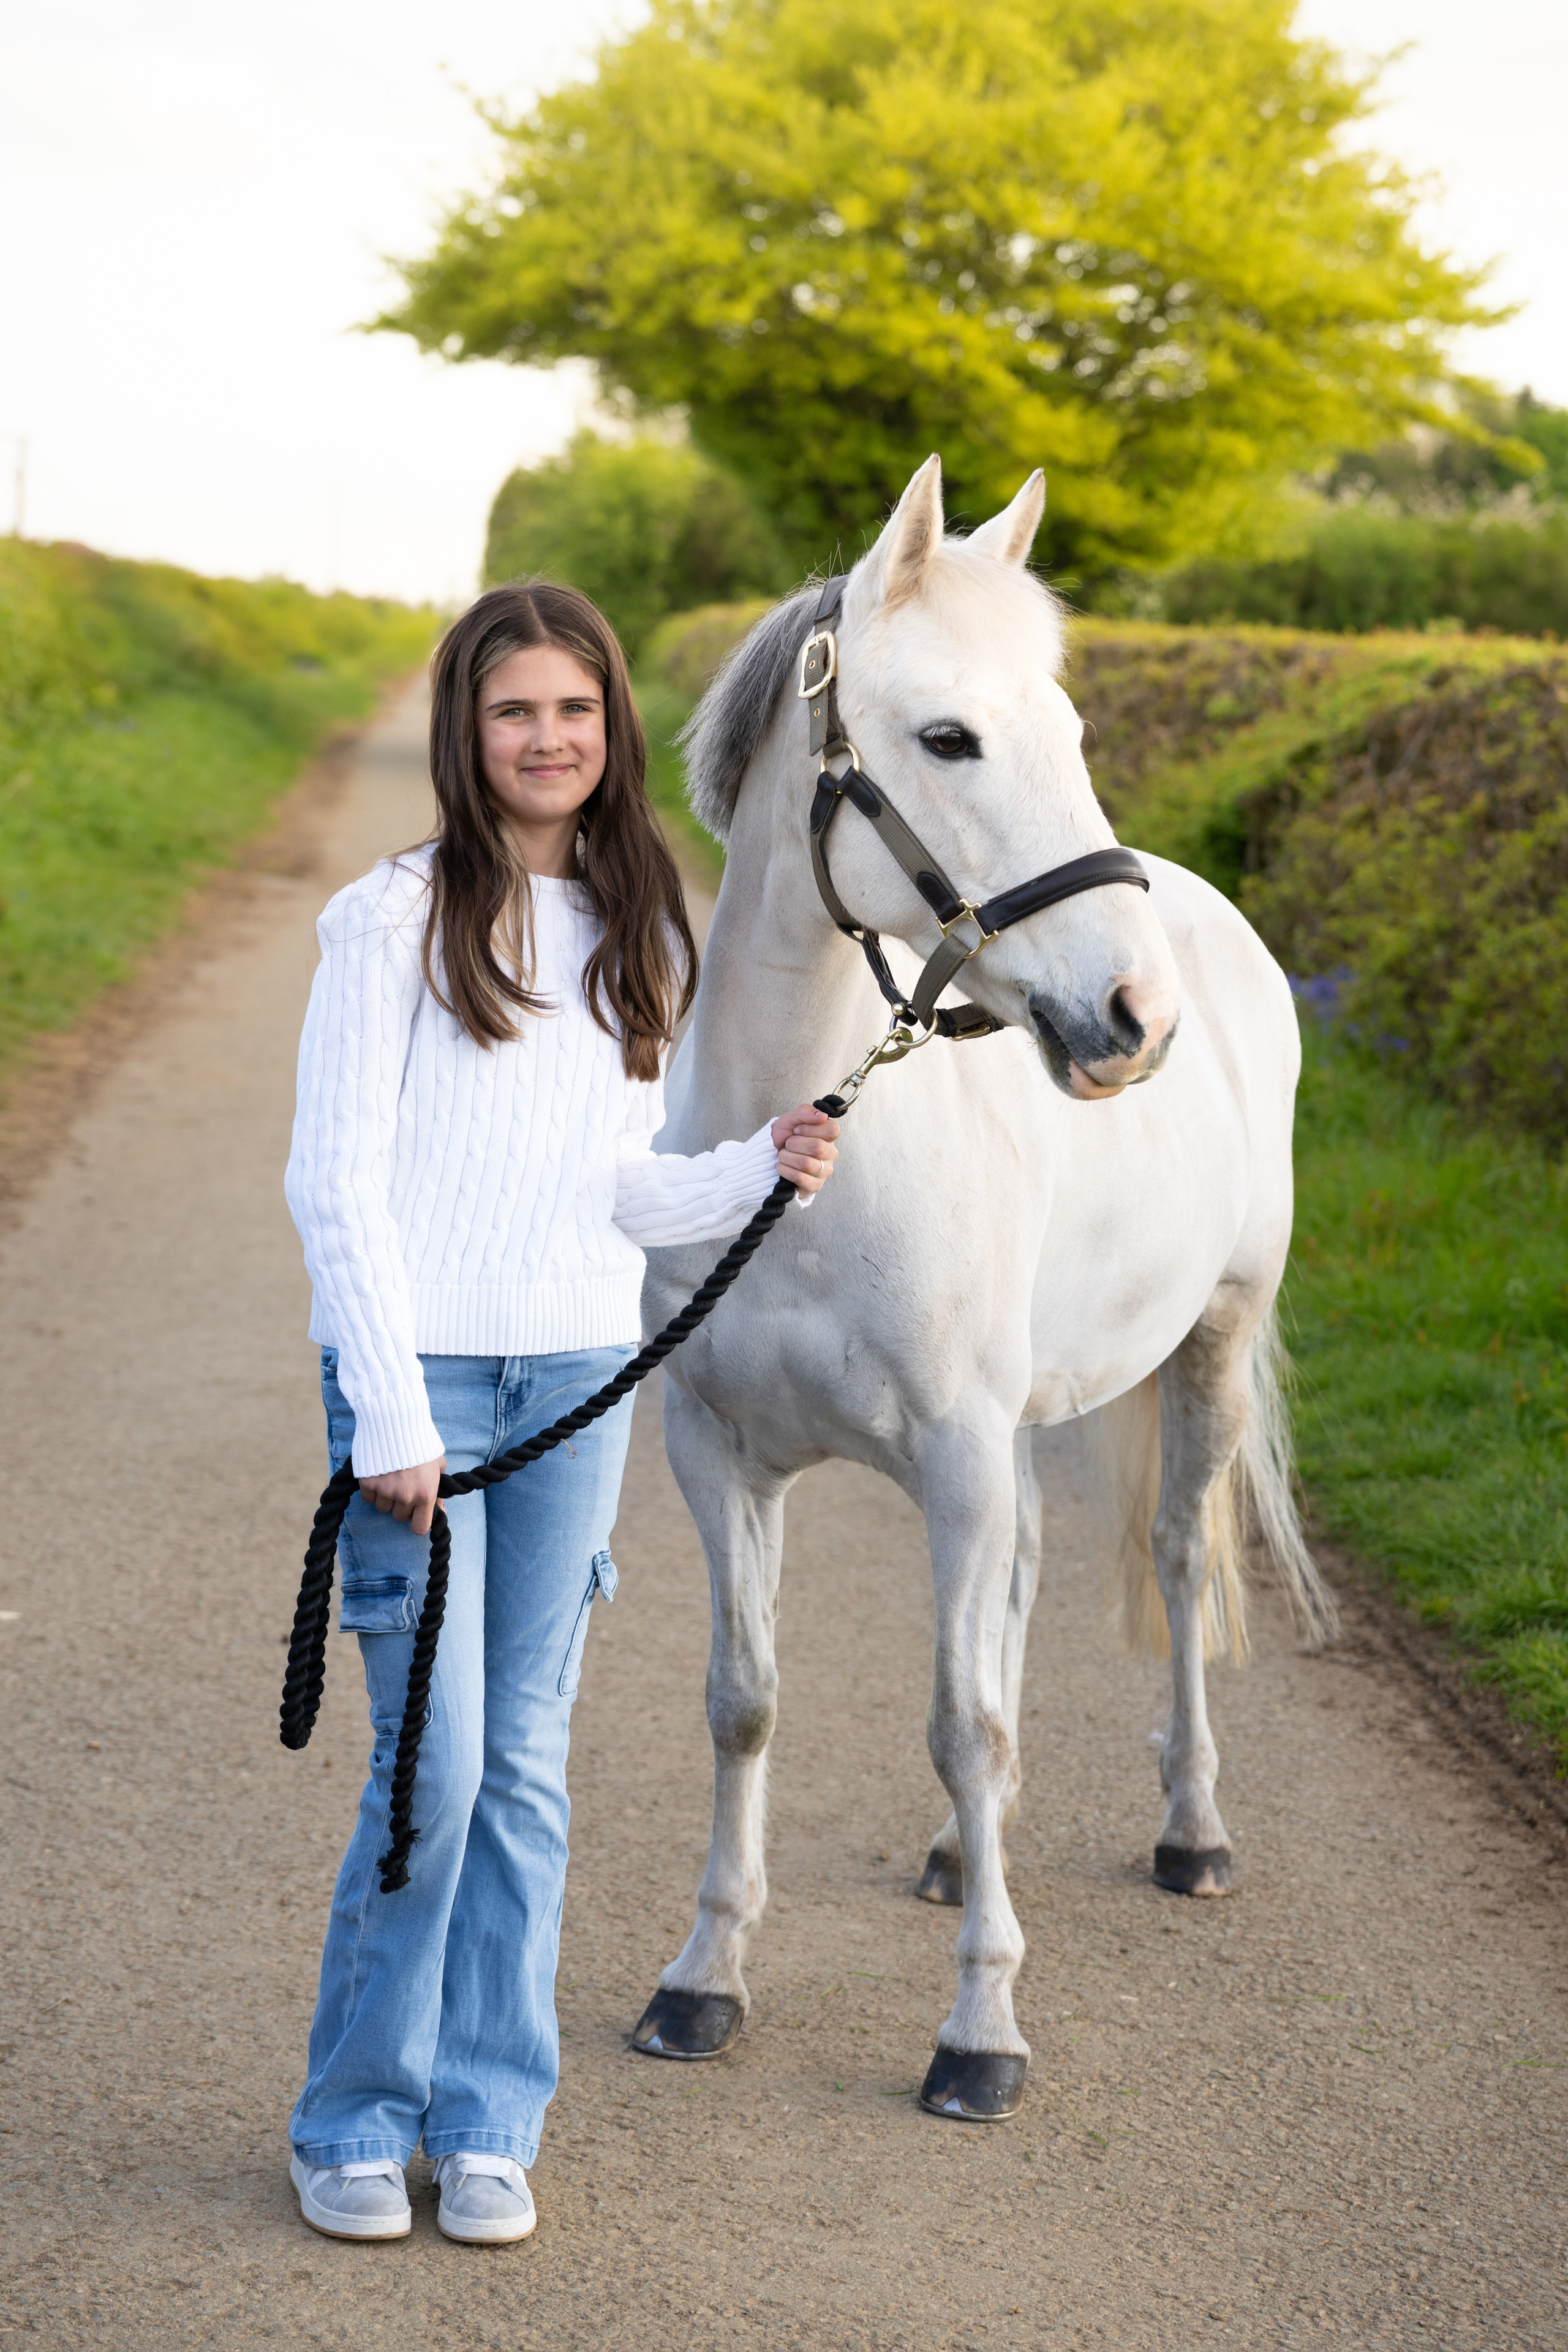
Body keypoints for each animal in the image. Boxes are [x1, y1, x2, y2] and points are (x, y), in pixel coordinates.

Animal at [632, 455, 1335, 2120]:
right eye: (946, 736)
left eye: (1070, 733)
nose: (1131, 1017)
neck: (806, 1154)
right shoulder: (718, 1457)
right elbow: (744, 1700)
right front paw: (704, 1977)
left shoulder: (953, 1461)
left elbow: (970, 1721)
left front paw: (979, 2033)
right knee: (1013, 1598)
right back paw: (967, 1859)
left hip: (1207, 1349)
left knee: (1176, 1561)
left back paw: (1191, 1835)